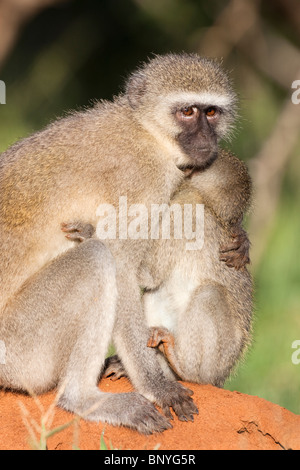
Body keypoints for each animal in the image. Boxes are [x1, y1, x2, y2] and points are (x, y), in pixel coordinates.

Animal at [0, 52, 239, 434]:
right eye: (187, 112)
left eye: (211, 112)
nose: (206, 137)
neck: (147, 132)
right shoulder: (146, 180)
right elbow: (125, 269)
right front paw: (158, 386)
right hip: (18, 351)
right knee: (97, 259)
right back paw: (82, 399)